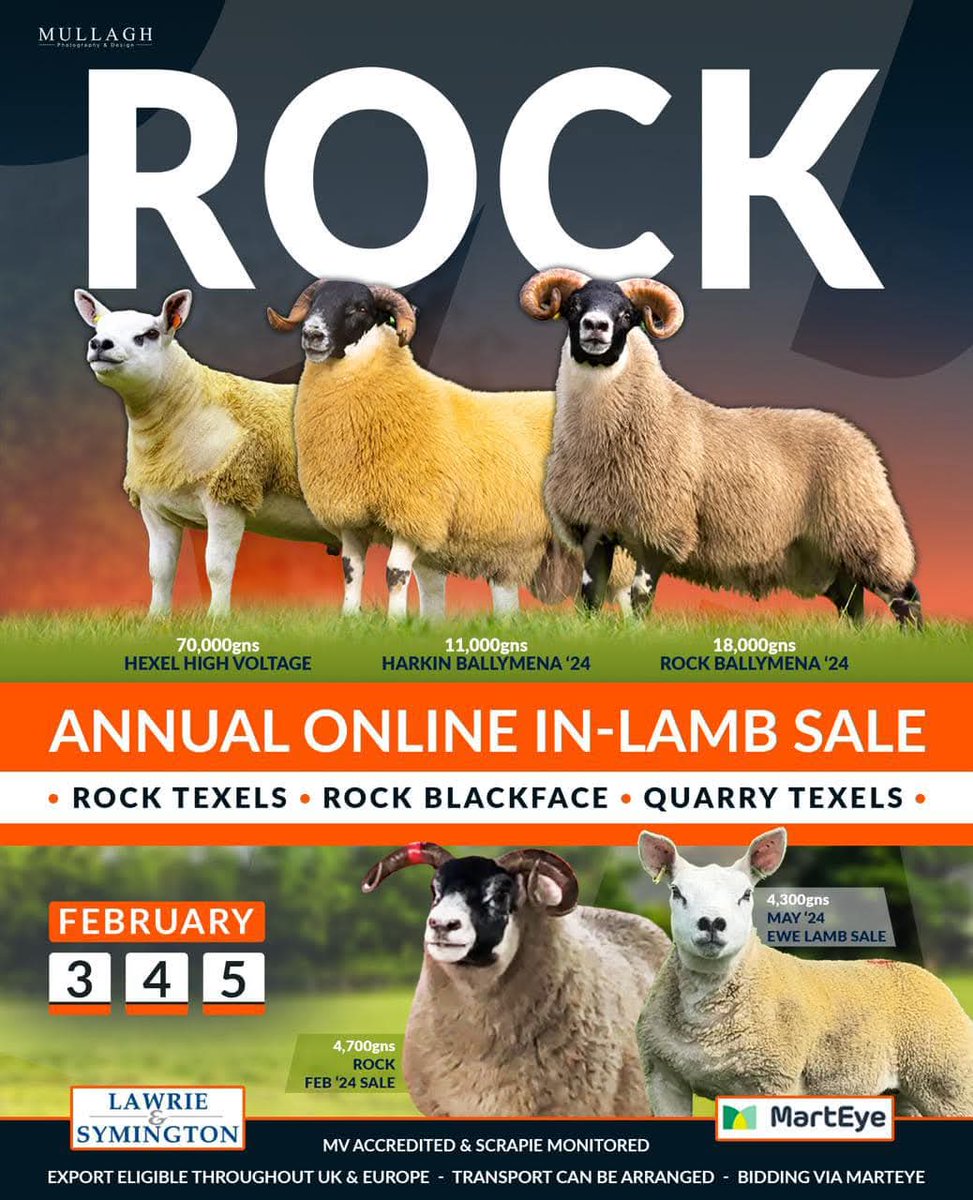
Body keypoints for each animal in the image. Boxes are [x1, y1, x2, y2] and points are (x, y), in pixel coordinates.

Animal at [73, 286, 343, 617]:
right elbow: (159, 570)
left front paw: (217, 618)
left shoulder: (228, 495)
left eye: (150, 333)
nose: (100, 344)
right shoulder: (155, 507)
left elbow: (218, 567)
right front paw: (156, 618)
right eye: (98, 330)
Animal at [266, 278, 633, 618]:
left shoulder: (415, 513)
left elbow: (394, 574)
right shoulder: (352, 518)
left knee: (628, 587)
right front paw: (350, 620)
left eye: (360, 308)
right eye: (316, 303)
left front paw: (395, 623)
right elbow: (351, 572)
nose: (313, 334)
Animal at [520, 270, 923, 629]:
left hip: (867, 532)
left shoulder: (661, 528)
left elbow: (640, 598)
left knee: (906, 596)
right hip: (824, 557)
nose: (596, 326)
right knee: (853, 604)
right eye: (574, 305)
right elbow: (589, 597)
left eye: (627, 315)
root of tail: (860, 439)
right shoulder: (596, 527)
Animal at [635, 827, 973, 1117]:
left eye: (746, 894)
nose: (712, 923)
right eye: (676, 892)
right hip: (901, 1092)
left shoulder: (775, 1078)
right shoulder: (663, 1077)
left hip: (947, 1080)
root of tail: (925, 975)